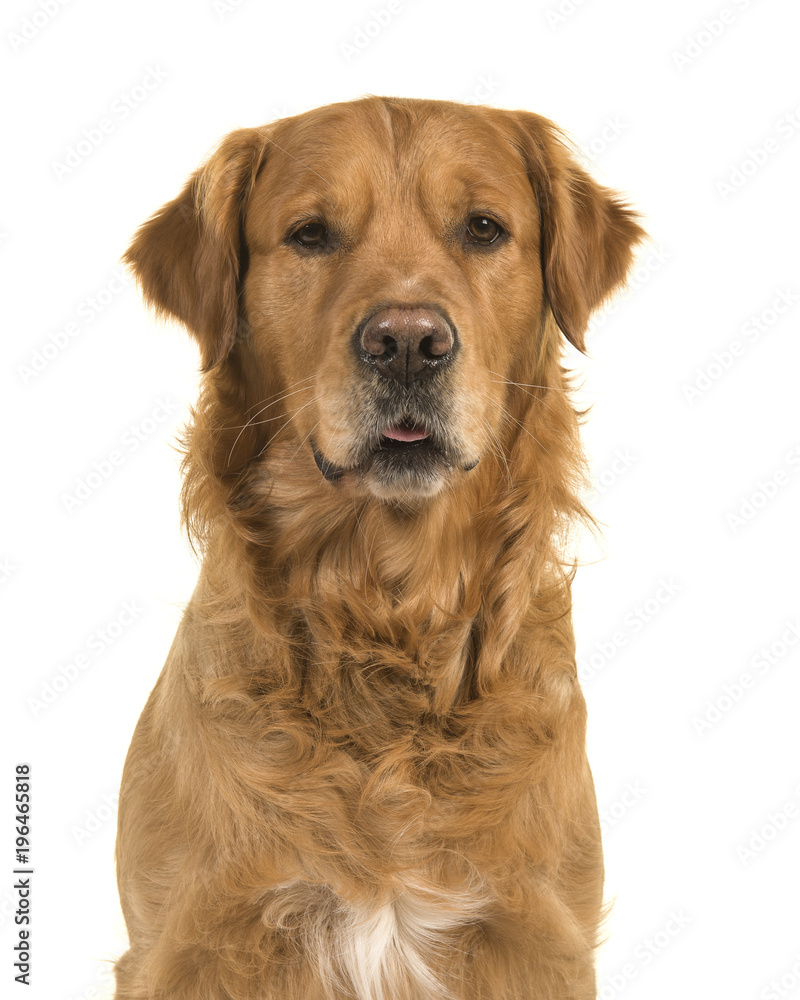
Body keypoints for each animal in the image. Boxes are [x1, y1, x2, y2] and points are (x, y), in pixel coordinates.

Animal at [115, 95, 644, 1000]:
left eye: (483, 228)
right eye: (310, 234)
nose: (406, 342)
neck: (385, 606)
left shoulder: (536, 937)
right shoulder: (184, 943)